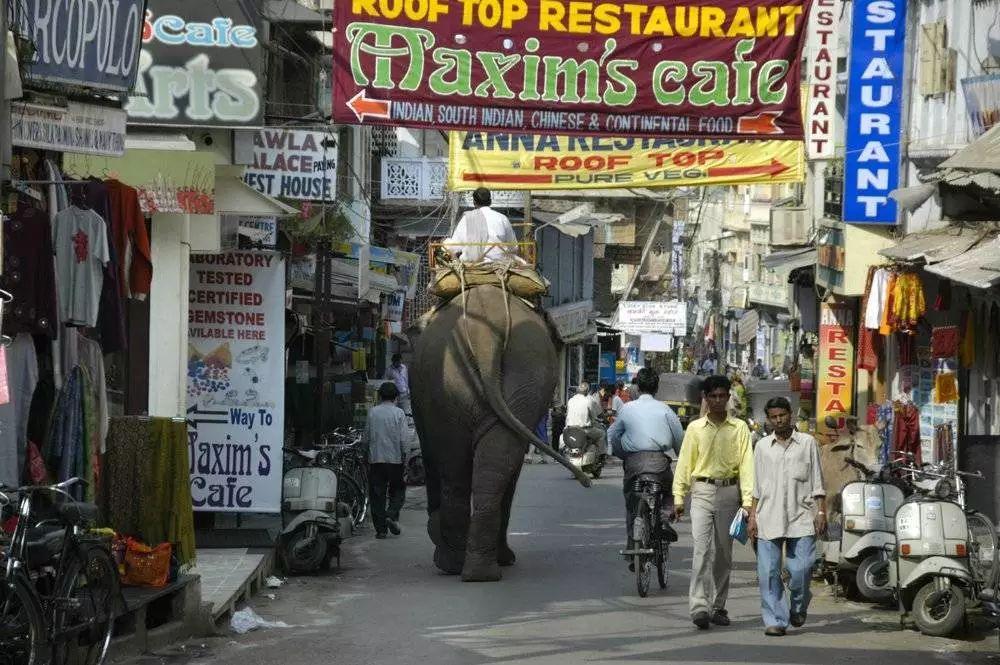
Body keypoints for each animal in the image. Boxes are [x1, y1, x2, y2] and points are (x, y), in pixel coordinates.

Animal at [410, 286, 588, 580]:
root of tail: (486, 336)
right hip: (503, 378)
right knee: (479, 464)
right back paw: (472, 568)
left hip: (503, 381)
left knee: (464, 467)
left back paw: (466, 567)